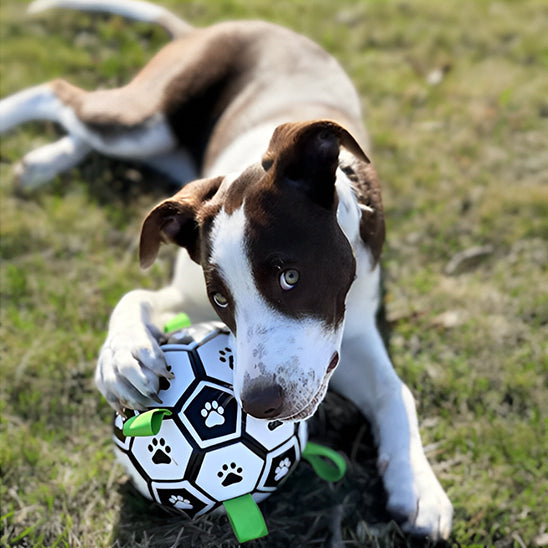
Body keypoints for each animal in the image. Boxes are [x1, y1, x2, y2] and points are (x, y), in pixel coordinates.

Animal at [0, 0, 454, 540]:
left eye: (290, 277)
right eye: (220, 299)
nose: (258, 406)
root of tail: (215, 28)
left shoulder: (354, 329)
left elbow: (394, 391)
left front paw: (418, 486)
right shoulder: (185, 292)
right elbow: (133, 295)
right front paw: (121, 356)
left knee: (80, 120)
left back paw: (46, 160)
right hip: (146, 119)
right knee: (63, 95)